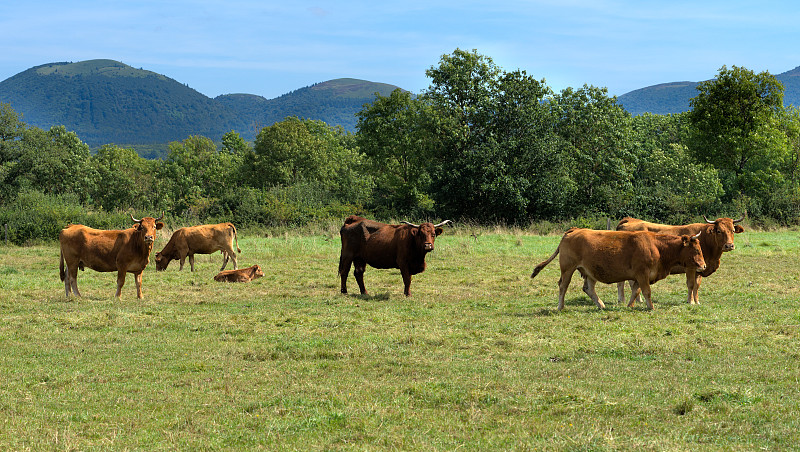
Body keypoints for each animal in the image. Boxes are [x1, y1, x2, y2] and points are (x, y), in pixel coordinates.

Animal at [532, 230, 708, 310]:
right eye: (697, 250)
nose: (704, 266)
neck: (657, 246)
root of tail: (574, 230)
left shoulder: (639, 276)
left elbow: (636, 291)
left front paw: (629, 305)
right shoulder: (642, 274)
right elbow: (646, 292)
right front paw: (651, 307)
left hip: (589, 272)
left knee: (589, 288)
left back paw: (601, 305)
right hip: (568, 268)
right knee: (563, 286)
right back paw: (560, 307)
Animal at [616, 215, 748, 304]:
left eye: (733, 230)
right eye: (719, 231)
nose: (729, 245)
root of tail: (629, 220)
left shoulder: (700, 268)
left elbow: (696, 286)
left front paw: (697, 301)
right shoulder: (690, 268)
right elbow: (690, 284)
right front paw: (691, 302)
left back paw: (637, 300)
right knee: (622, 282)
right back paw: (622, 300)